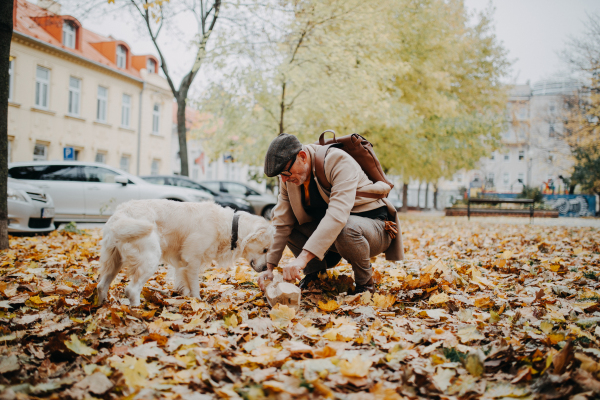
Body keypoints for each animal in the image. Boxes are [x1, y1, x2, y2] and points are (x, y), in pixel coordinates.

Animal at [97, 200, 276, 306]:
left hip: (114, 261)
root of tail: (121, 214)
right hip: (150, 258)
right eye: (265, 249)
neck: (229, 226)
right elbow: (195, 286)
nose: (264, 269)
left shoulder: (182, 263)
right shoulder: (192, 259)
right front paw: (198, 302)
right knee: (132, 290)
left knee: (101, 286)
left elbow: (184, 283)